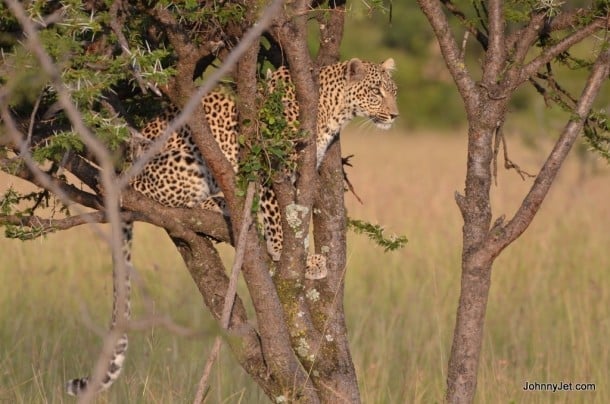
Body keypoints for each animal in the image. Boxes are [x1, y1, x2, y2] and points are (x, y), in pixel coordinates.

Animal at [66, 58, 400, 396]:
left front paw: (305, 254)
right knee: (171, 199)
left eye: (393, 91)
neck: (331, 108)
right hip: (187, 163)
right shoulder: (271, 166)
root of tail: (124, 172)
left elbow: (295, 216)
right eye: (376, 91)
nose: (395, 115)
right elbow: (279, 219)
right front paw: (289, 254)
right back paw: (227, 208)